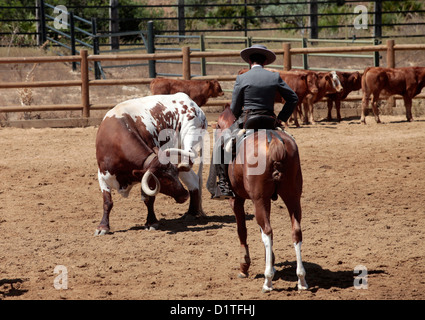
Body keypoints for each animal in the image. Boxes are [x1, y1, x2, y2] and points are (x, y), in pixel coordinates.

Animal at [95, 92, 207, 235]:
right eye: (164, 180)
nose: (184, 196)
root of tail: (191, 102)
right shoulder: (102, 175)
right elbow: (107, 202)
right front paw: (103, 227)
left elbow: (149, 199)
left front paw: (151, 222)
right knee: (193, 180)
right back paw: (191, 212)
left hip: (190, 136)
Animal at [215, 105, 308, 292]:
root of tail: (275, 143)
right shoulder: (266, 201)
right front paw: (270, 260)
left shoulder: (237, 200)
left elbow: (242, 230)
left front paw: (244, 266)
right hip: (292, 197)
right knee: (295, 231)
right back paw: (301, 279)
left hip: (259, 200)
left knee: (267, 231)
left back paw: (268, 280)